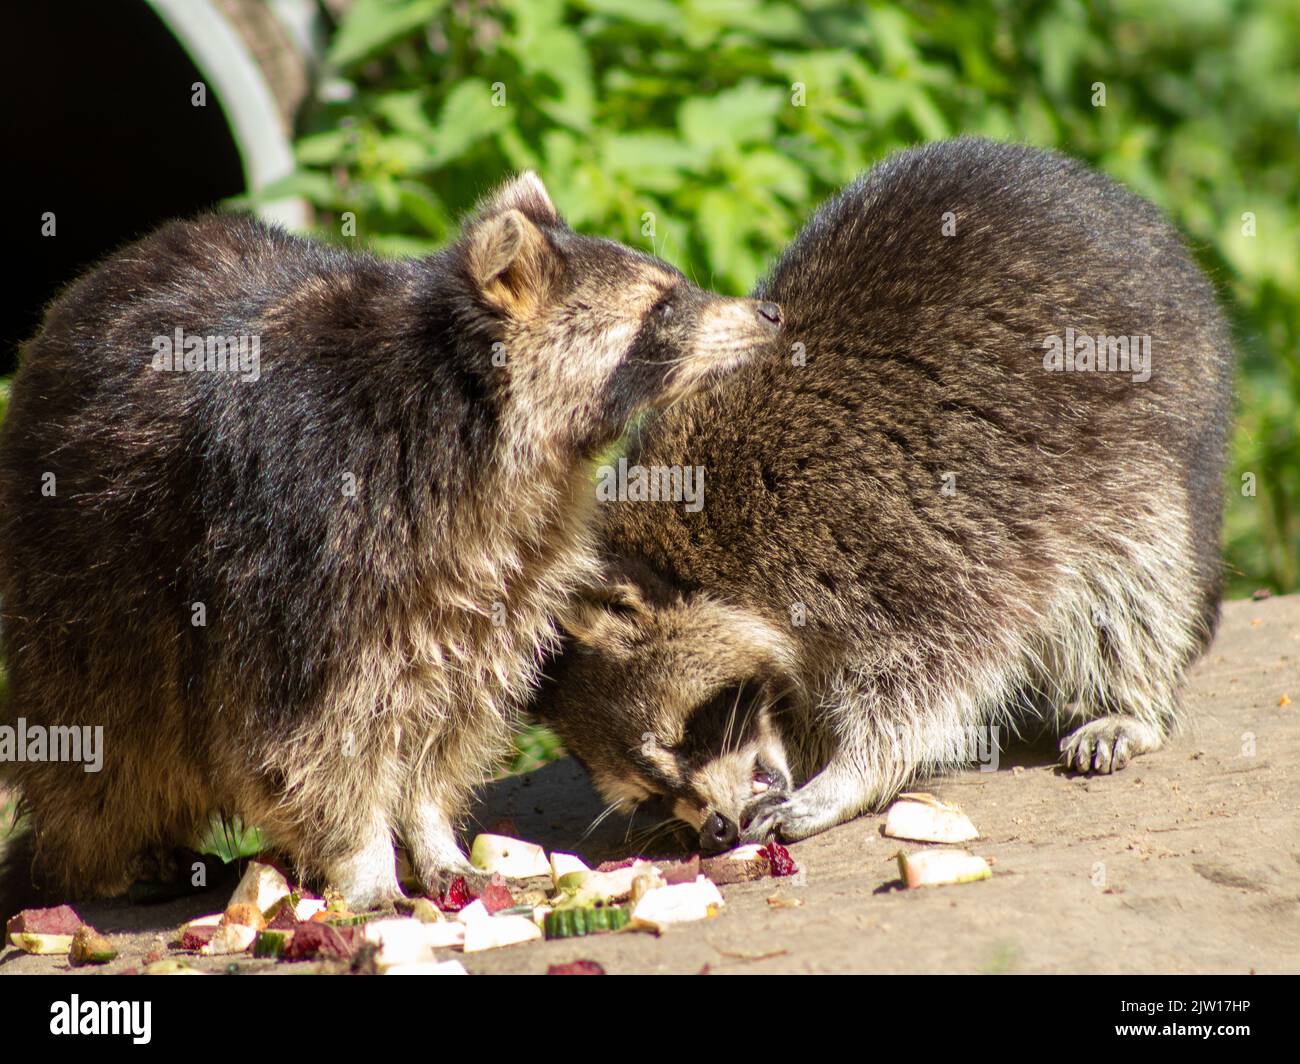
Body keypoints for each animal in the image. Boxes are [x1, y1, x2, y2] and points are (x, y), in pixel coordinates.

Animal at [0, 171, 780, 905]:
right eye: (662, 306)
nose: (769, 313)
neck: (473, 413)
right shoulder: (303, 540)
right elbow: (309, 735)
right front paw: (364, 857)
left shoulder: (514, 554)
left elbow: (457, 705)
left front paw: (432, 832)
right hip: (75, 580)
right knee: (99, 736)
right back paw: (106, 855)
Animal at [533, 139, 1232, 853]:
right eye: (649, 796)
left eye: (682, 740)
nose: (716, 833)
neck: (697, 555)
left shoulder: (882, 534)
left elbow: (927, 675)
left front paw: (851, 774)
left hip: (1140, 436)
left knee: (1133, 576)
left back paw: (1128, 701)